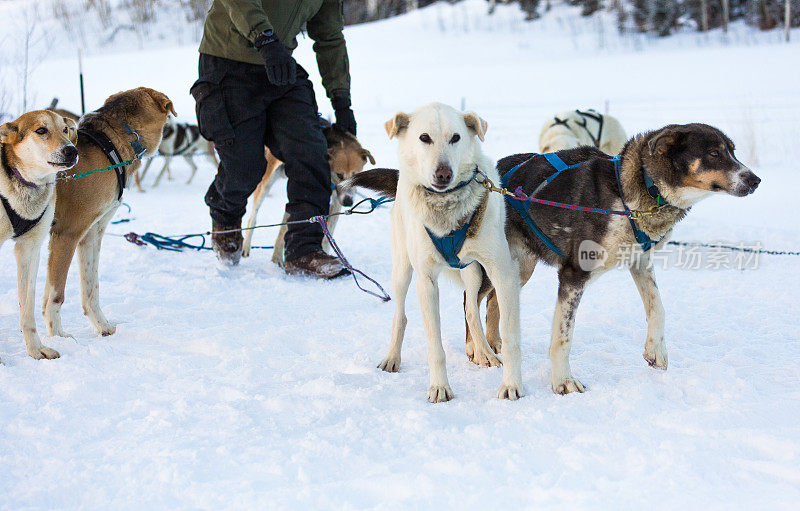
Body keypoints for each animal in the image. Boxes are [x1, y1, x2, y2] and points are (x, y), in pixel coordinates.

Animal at [0, 110, 77, 362]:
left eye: (65, 129)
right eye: (41, 130)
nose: (72, 150)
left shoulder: (30, 248)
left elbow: (28, 306)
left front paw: (36, 349)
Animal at [43, 87, 175, 340]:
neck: (109, 146)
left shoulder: (91, 234)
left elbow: (91, 288)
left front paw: (102, 325)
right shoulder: (67, 234)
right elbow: (55, 296)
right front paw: (58, 339)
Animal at [241, 119, 376, 264]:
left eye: (356, 175)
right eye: (339, 175)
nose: (348, 202)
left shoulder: (335, 202)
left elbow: (328, 234)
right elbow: (285, 228)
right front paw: (276, 259)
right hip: (266, 182)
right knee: (253, 217)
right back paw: (246, 246)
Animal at [476, 124, 764, 396]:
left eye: (733, 151)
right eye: (714, 153)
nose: (755, 180)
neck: (631, 193)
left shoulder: (640, 262)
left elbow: (657, 307)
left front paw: (656, 350)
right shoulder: (573, 274)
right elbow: (562, 336)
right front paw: (563, 381)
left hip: (519, 268)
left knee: (494, 300)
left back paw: (495, 342)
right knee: (474, 301)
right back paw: (479, 352)